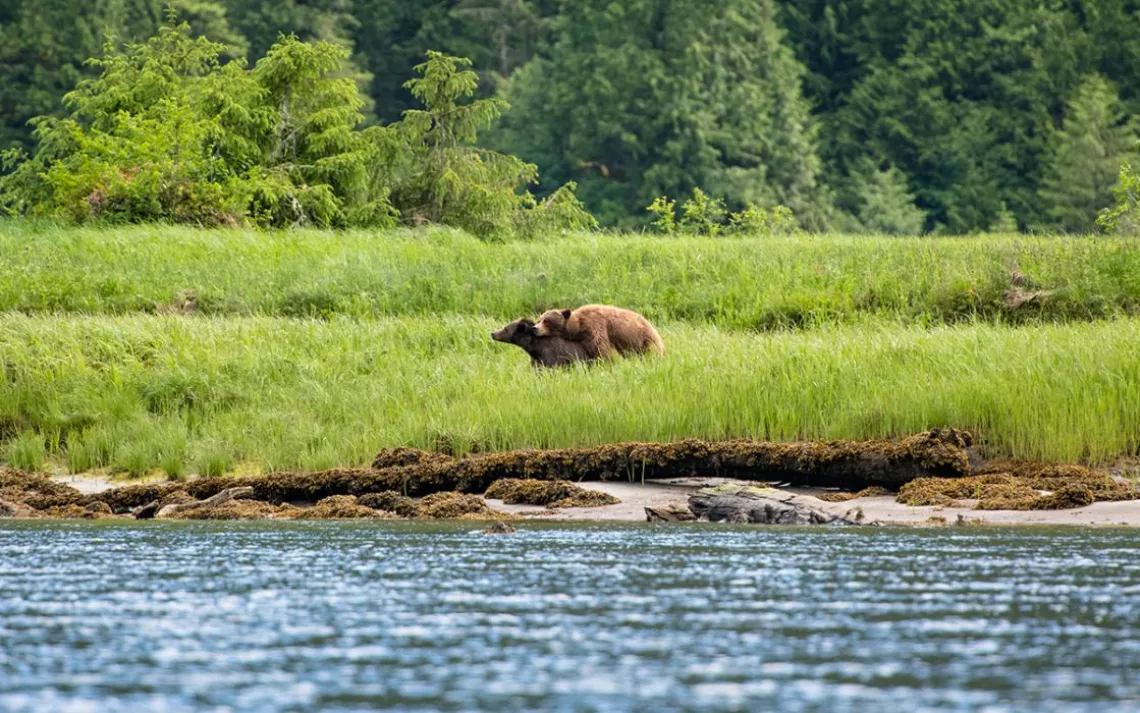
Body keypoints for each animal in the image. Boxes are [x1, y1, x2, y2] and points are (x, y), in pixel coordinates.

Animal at [531, 304, 664, 359]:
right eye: (539, 320)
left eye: (546, 321)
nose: (534, 328)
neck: (579, 327)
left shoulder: (595, 326)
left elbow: (601, 348)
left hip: (646, 339)